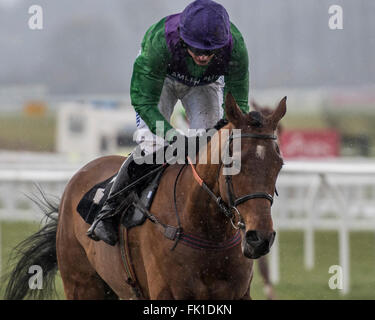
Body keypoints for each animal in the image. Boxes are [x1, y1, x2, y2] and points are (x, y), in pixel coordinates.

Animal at [2, 93, 286, 300]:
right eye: (233, 163)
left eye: (279, 163)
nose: (260, 238)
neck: (206, 229)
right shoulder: (166, 294)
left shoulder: (236, 293)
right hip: (81, 283)